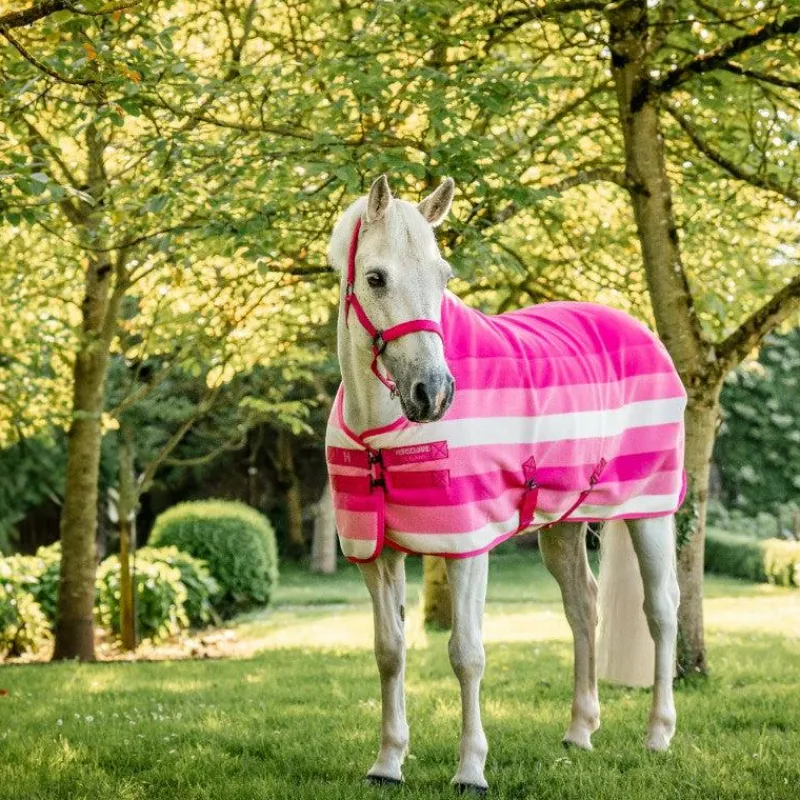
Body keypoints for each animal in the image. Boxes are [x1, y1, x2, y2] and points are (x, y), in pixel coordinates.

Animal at [325, 175, 683, 793]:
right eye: (375, 278)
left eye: (444, 276)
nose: (434, 393)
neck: (381, 432)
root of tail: (641, 329)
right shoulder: (377, 553)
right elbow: (389, 652)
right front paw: (387, 763)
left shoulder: (467, 546)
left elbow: (466, 654)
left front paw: (470, 769)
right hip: (563, 526)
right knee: (583, 609)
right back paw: (579, 731)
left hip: (651, 513)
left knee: (661, 610)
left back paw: (659, 733)